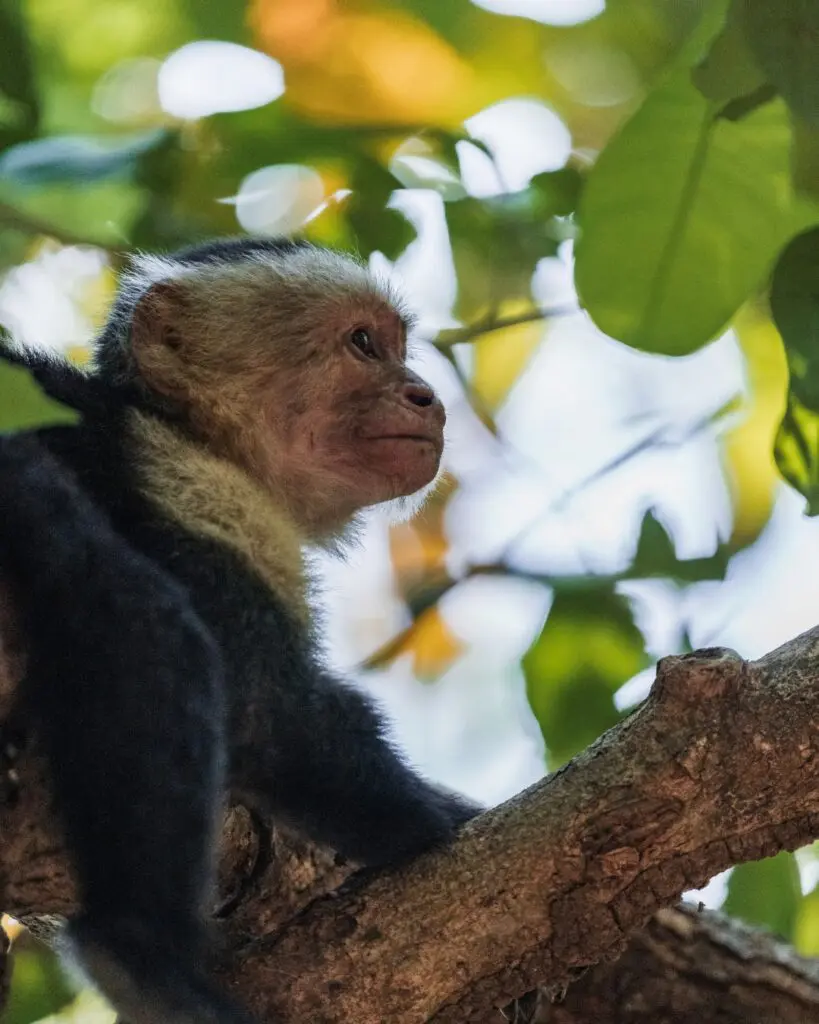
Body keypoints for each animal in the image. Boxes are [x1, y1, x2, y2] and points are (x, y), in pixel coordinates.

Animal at [0, 237, 480, 1024]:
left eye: (397, 349)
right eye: (363, 345)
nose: (426, 397)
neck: (186, 431)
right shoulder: (185, 479)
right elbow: (267, 708)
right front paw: (438, 817)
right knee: (140, 613)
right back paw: (140, 957)